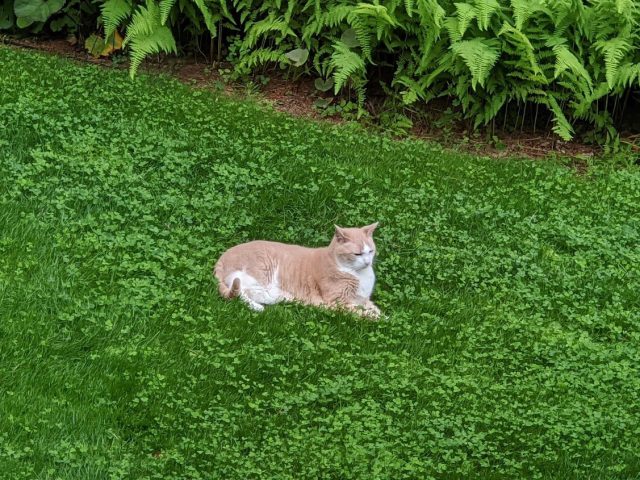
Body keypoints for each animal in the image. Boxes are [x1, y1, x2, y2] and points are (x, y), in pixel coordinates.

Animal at [215, 225, 382, 318]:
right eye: (357, 254)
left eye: (371, 251)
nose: (368, 262)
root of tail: (221, 258)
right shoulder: (337, 301)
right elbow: (360, 312)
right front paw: (373, 317)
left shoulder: (362, 299)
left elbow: (373, 307)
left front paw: (380, 314)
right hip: (257, 276)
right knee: (239, 290)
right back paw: (257, 307)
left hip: (270, 293)